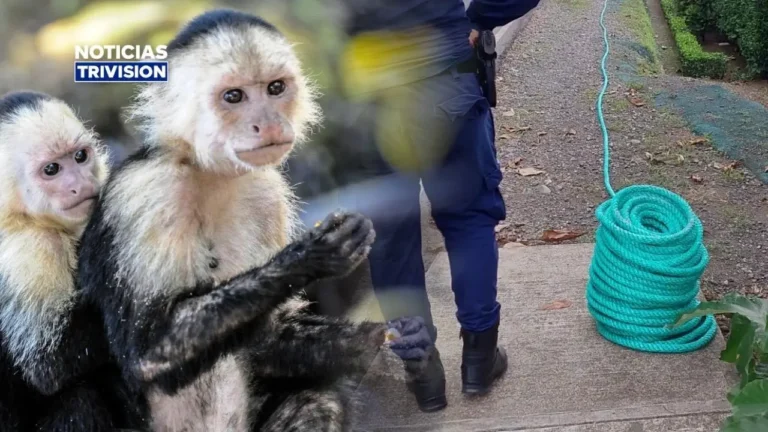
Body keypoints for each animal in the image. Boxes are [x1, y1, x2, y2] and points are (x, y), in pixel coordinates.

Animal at [0, 90, 144, 431]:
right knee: (81, 398)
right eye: (52, 169)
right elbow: (48, 361)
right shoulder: (28, 248)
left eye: (80, 157)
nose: (81, 182)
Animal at [75, 9, 410, 432]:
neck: (206, 171)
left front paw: (379, 345)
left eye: (275, 88)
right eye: (234, 96)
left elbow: (267, 338)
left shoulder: (268, 195)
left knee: (318, 399)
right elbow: (148, 349)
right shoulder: (145, 191)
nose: (268, 123)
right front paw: (311, 256)